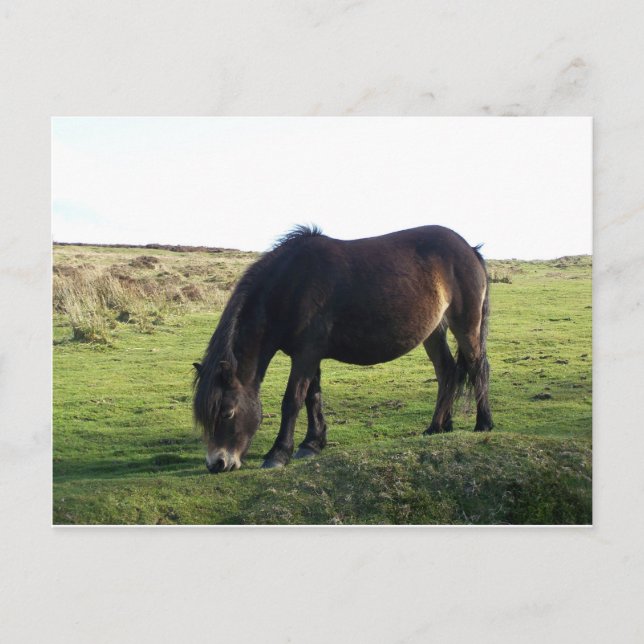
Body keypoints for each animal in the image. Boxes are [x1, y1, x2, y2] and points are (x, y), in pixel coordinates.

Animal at [193, 225, 493, 473]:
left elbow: (292, 401)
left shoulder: (306, 355)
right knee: (447, 372)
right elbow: (313, 397)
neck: (292, 285)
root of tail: (469, 249)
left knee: (477, 366)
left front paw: (278, 454)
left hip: (466, 325)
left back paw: (483, 423)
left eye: (227, 412)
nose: (217, 464)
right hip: (433, 331)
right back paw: (438, 427)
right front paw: (312, 444)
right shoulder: (309, 355)